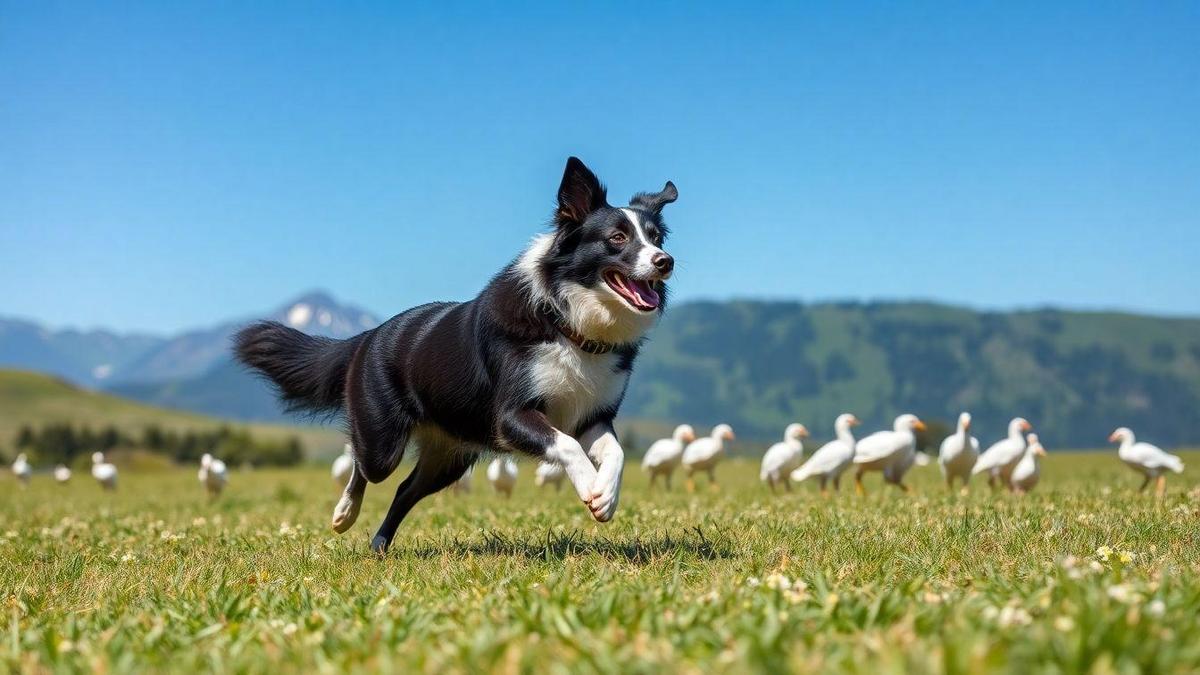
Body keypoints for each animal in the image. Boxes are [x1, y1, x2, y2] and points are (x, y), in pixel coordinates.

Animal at [234, 157, 676, 552]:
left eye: (656, 238)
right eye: (617, 238)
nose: (665, 262)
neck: (568, 322)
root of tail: (368, 336)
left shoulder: (592, 416)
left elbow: (616, 451)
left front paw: (606, 495)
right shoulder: (511, 416)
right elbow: (565, 444)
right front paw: (589, 486)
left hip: (450, 454)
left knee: (404, 490)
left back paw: (379, 545)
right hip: (383, 441)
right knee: (363, 465)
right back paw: (344, 514)